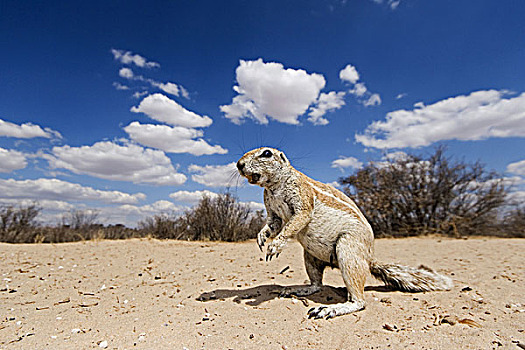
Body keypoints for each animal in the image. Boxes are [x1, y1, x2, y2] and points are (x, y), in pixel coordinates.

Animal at [236, 148, 450, 320]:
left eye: (266, 153)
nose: (239, 164)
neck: (273, 187)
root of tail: (369, 260)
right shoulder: (272, 211)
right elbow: (273, 224)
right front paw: (262, 237)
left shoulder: (302, 199)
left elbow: (295, 222)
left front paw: (275, 246)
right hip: (310, 256)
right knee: (317, 284)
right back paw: (299, 289)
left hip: (348, 251)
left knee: (359, 301)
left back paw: (329, 309)